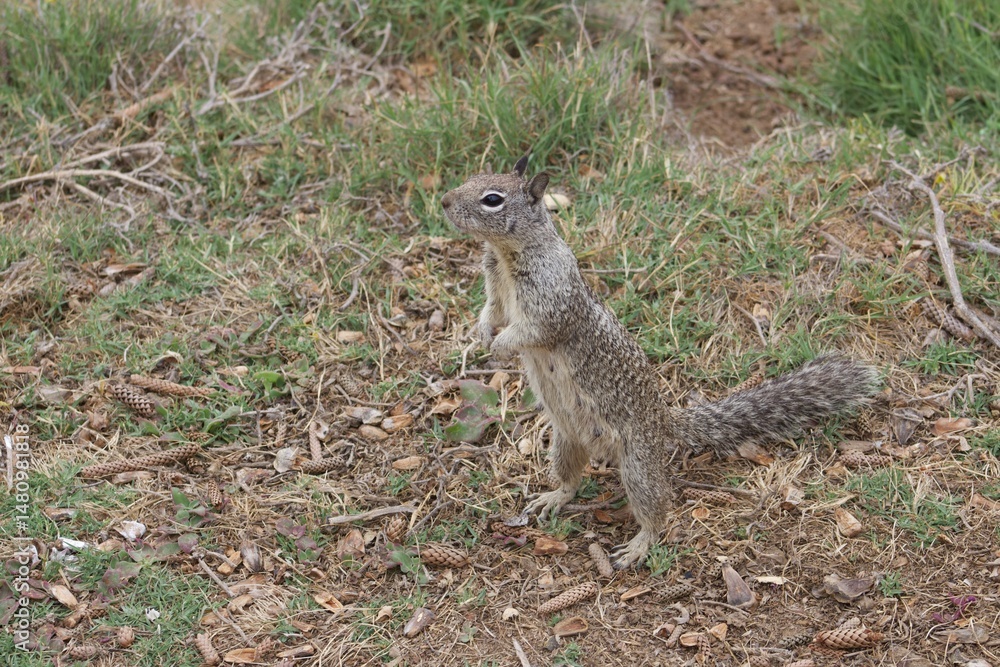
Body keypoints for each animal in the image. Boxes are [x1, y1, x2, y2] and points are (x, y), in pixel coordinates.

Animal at [441, 156, 879, 569]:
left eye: (493, 199)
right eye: (474, 177)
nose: (444, 201)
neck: (506, 253)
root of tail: (663, 422)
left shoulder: (552, 300)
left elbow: (534, 330)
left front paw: (501, 345)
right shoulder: (496, 288)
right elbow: (493, 311)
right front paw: (482, 333)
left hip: (638, 465)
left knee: (658, 509)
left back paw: (638, 545)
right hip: (564, 440)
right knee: (570, 482)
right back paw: (552, 497)